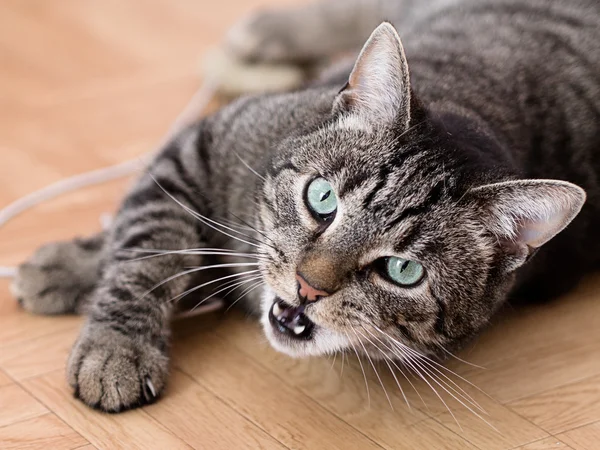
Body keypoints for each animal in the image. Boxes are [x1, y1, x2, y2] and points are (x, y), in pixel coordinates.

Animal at [10, 0, 600, 414]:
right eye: (322, 198)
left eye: (403, 271)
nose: (308, 286)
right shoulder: (201, 143)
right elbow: (150, 248)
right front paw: (111, 336)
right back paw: (268, 32)